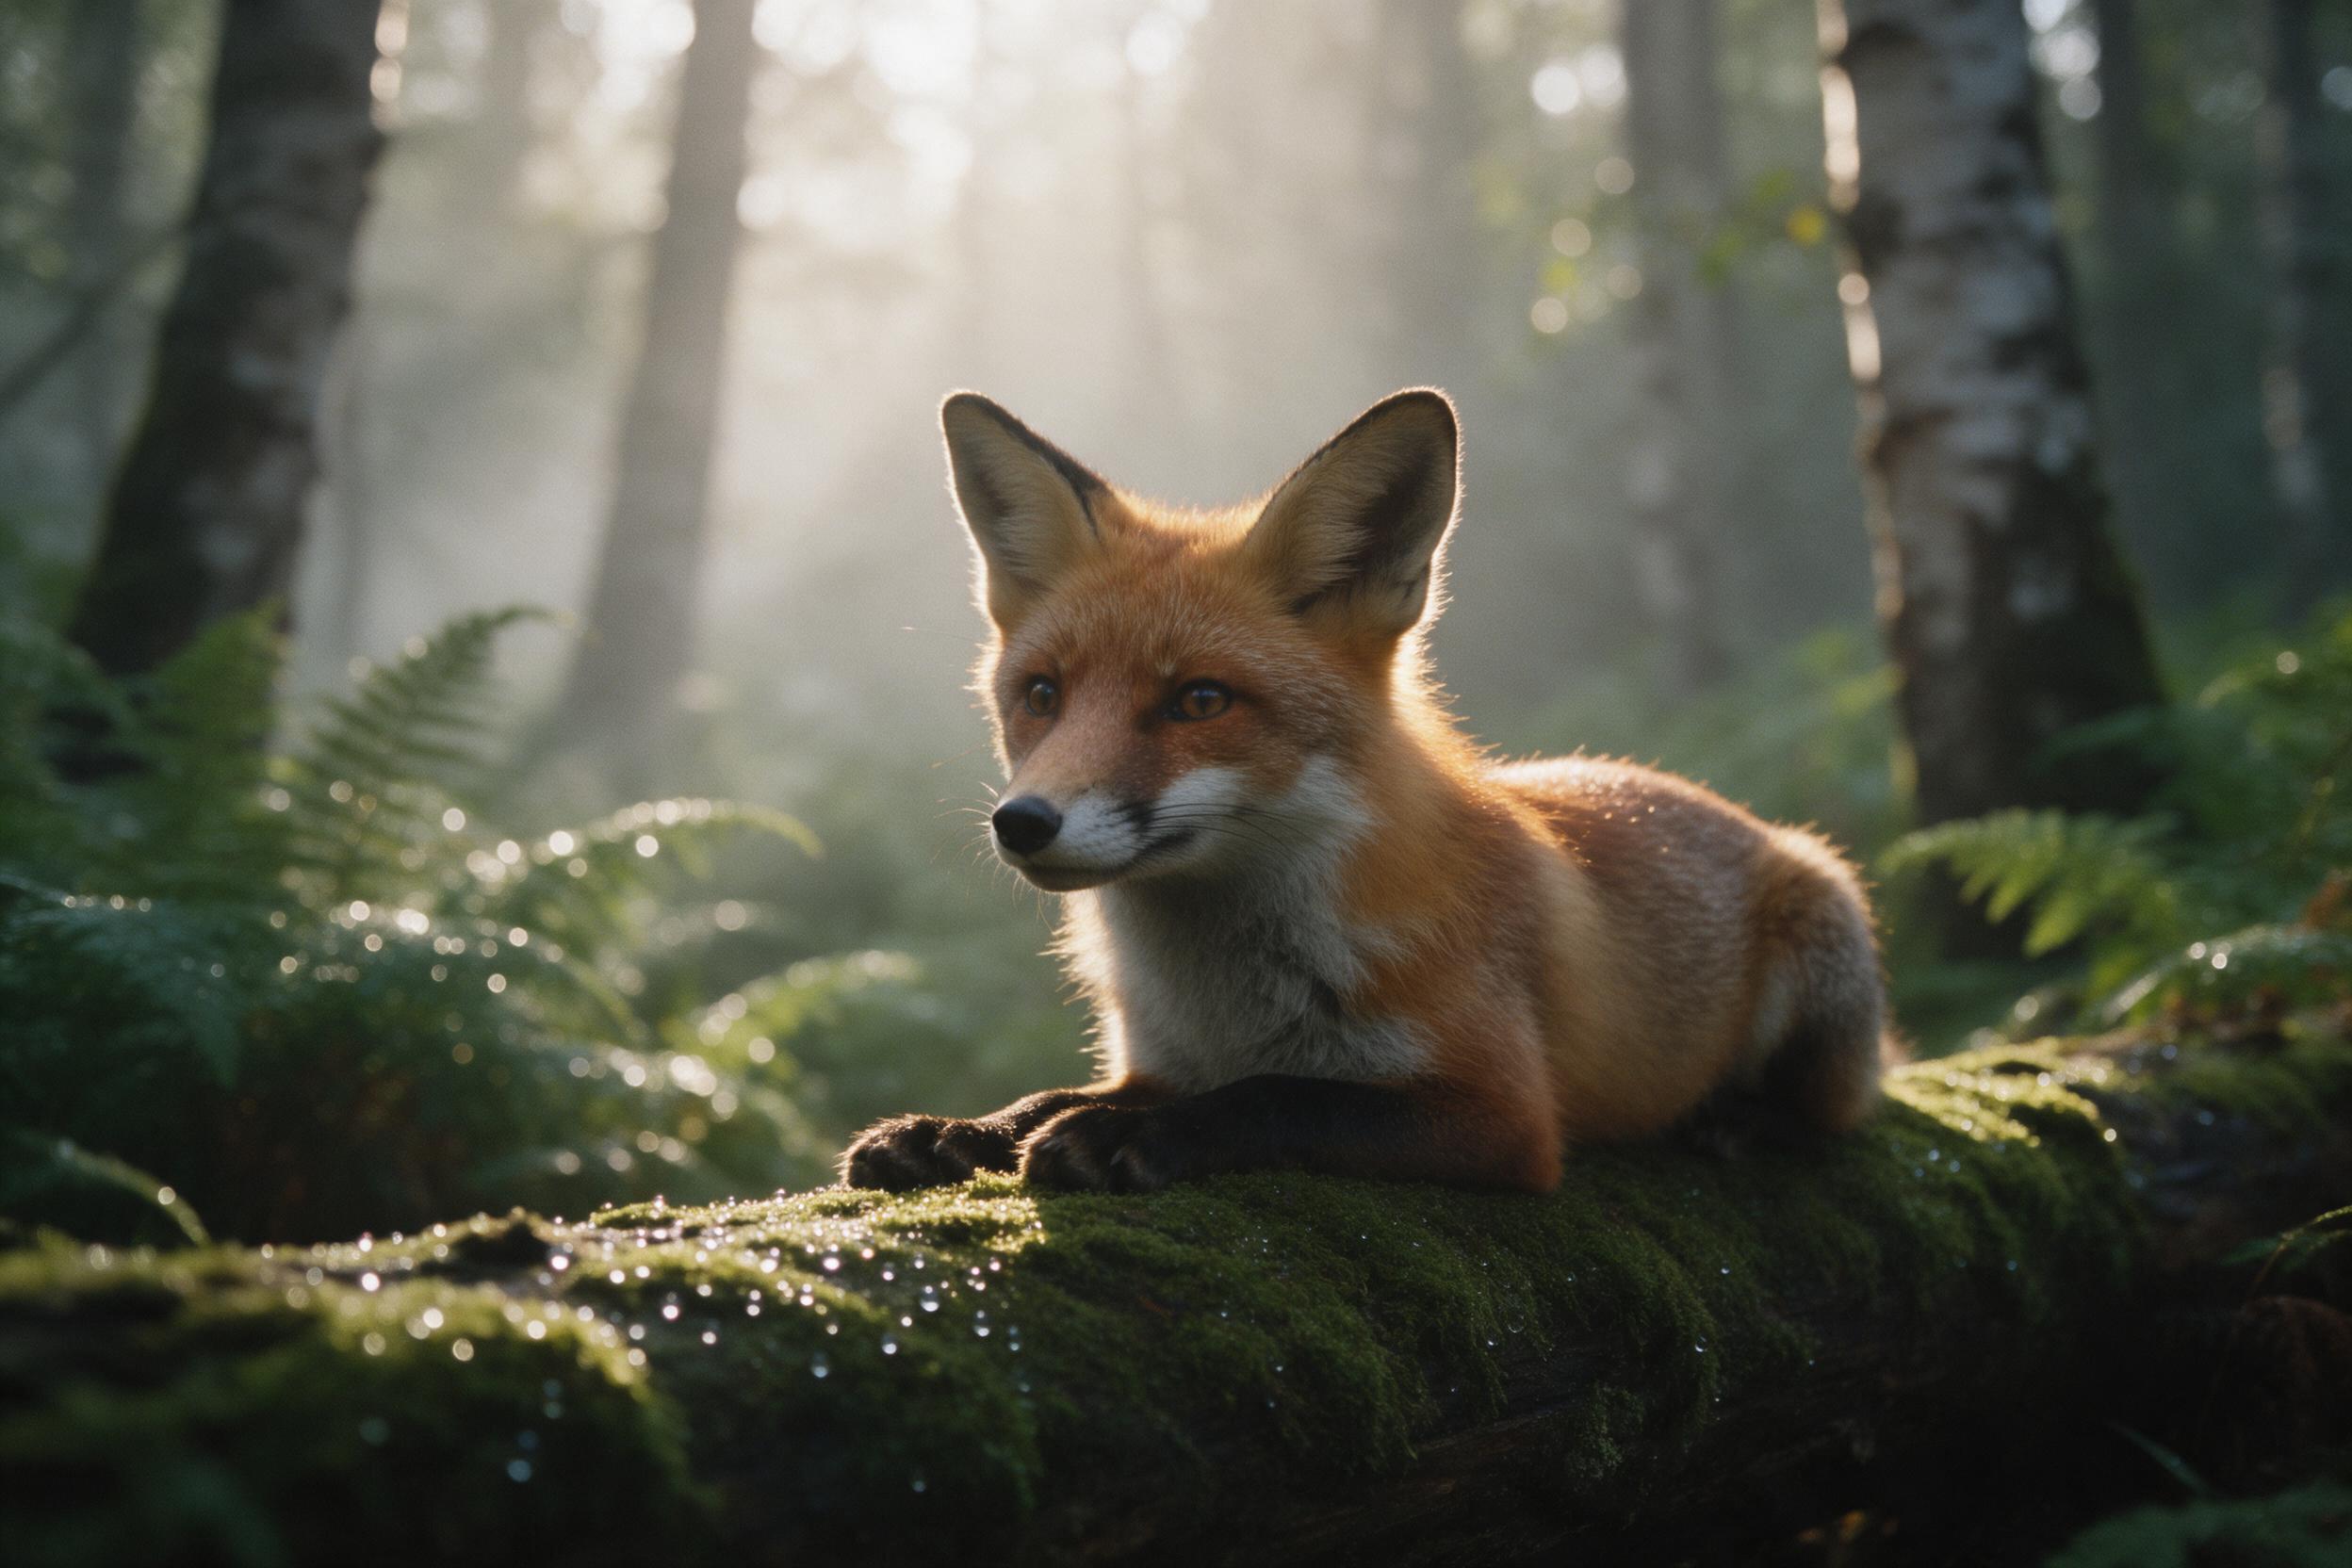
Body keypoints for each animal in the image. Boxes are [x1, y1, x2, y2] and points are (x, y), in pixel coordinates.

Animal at [841, 387, 1888, 1195]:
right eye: (1042, 696)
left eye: (1200, 700)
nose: (1023, 822)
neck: (1230, 999)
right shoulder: (1161, 1061)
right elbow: (1050, 1097)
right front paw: (960, 1130)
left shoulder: (1504, 1113)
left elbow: (1278, 1097)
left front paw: (1128, 1139)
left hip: (1824, 931)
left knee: (1842, 1113)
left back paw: (1745, 1119)